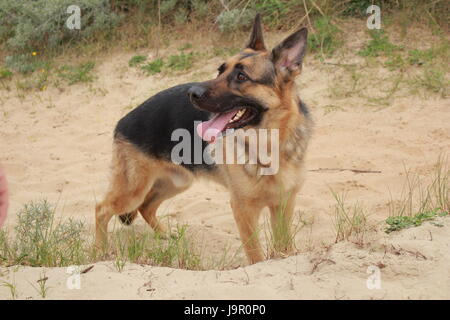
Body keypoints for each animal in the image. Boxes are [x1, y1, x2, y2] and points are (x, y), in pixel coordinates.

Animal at [95, 15, 312, 264]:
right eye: (220, 71)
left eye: (241, 76)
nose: (192, 93)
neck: (269, 144)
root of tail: (122, 121)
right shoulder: (244, 210)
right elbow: (256, 256)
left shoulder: (283, 204)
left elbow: (284, 248)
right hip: (133, 191)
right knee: (101, 209)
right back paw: (99, 251)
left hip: (177, 182)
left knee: (146, 207)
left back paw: (165, 235)